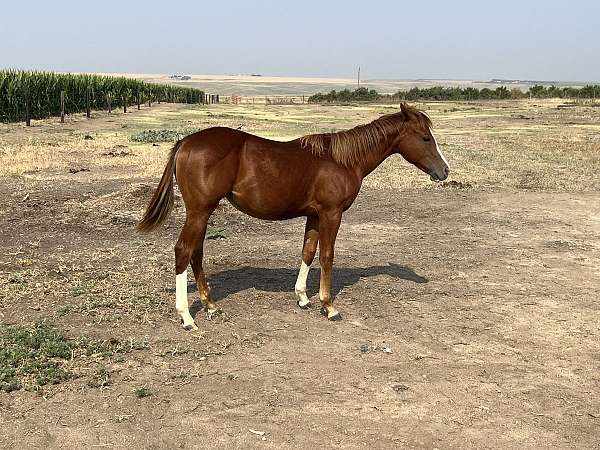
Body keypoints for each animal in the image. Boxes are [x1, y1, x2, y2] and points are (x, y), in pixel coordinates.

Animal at [138, 103, 448, 332]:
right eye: (425, 137)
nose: (444, 171)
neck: (342, 160)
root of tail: (185, 142)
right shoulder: (331, 214)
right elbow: (326, 256)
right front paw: (328, 306)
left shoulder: (314, 215)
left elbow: (308, 252)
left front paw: (302, 297)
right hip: (199, 211)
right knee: (184, 251)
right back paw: (187, 317)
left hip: (203, 213)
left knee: (196, 253)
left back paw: (211, 305)